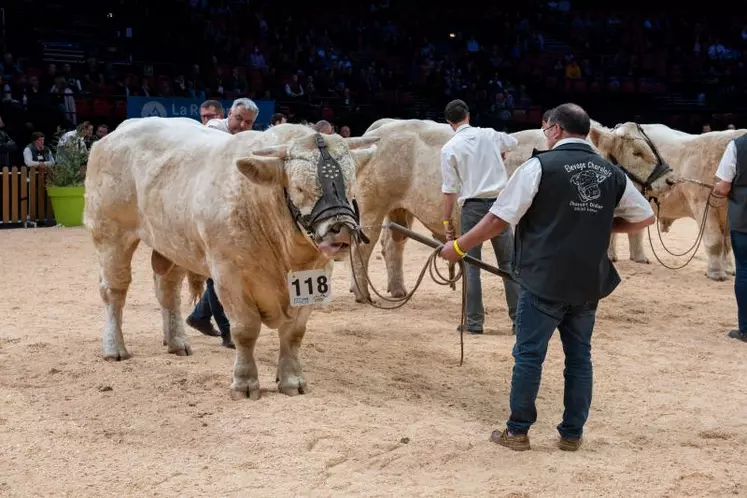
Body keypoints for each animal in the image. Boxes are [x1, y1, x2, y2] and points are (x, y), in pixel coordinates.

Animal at [86, 115, 380, 396]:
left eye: (351, 184)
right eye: (299, 188)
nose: (342, 230)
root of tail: (122, 129)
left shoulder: (314, 277)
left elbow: (294, 333)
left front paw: (292, 380)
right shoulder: (229, 276)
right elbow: (245, 330)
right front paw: (245, 383)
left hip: (173, 244)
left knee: (168, 291)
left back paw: (177, 342)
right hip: (110, 235)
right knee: (114, 291)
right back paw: (114, 348)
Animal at [350, 118, 676, 302]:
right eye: (637, 152)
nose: (670, 180)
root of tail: (381, 131)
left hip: (399, 209)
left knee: (393, 245)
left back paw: (396, 289)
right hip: (372, 206)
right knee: (362, 248)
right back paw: (363, 293)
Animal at [592, 123, 744, 280]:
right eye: (637, 153)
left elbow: (727, 243)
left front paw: (728, 269)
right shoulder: (702, 204)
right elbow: (715, 242)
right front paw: (716, 273)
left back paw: (639, 257)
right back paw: (612, 256)